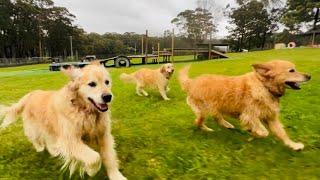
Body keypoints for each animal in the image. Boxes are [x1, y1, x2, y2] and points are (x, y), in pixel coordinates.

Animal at [180, 60, 312, 150]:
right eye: (291, 70)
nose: (309, 76)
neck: (264, 86)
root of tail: (191, 82)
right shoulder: (249, 115)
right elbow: (264, 132)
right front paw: (253, 131)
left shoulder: (271, 117)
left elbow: (282, 133)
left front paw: (294, 145)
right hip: (204, 109)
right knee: (197, 122)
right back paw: (207, 129)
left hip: (215, 107)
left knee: (216, 118)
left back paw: (227, 125)